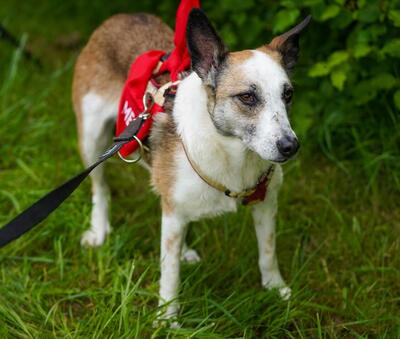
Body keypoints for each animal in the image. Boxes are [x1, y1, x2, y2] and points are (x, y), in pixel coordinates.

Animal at [71, 8, 310, 324]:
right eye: (247, 97)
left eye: (288, 94)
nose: (290, 146)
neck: (233, 152)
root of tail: (125, 15)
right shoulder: (173, 216)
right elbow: (169, 274)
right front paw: (166, 318)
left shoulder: (266, 201)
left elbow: (268, 251)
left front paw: (275, 288)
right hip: (92, 141)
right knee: (101, 189)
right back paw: (99, 231)